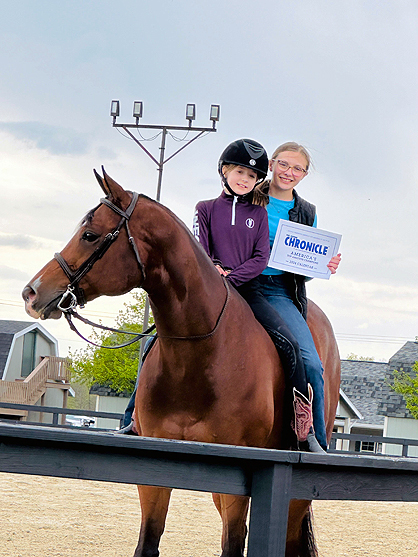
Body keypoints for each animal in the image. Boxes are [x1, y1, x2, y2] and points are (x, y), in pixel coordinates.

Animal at [22, 169, 340, 556]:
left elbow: (233, 544)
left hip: (295, 493)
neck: (201, 358)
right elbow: (148, 542)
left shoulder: (243, 476)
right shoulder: (156, 475)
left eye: (90, 235)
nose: (32, 292)